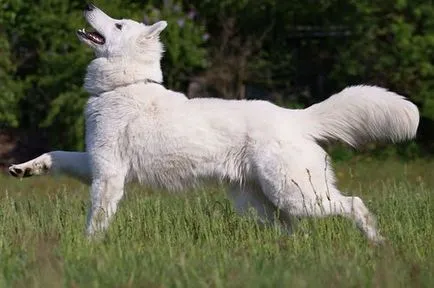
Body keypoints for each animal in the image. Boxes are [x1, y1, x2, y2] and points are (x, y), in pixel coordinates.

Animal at [8, 5, 418, 243]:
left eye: (119, 24)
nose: (87, 5)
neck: (124, 86)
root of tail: (295, 116)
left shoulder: (108, 174)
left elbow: (96, 218)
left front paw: (88, 249)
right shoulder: (93, 162)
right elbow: (55, 154)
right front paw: (25, 168)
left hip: (298, 195)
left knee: (354, 204)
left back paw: (377, 243)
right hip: (263, 204)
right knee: (294, 231)